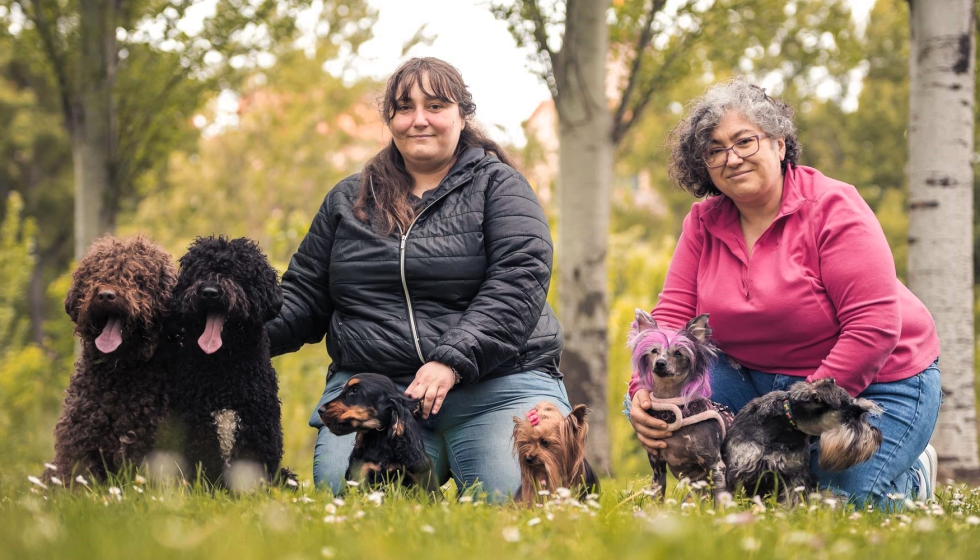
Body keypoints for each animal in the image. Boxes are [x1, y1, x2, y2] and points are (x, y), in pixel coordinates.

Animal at [165, 236, 292, 486]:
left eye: (236, 272)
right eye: (199, 270)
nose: (209, 292)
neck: (223, 369)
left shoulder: (257, 431)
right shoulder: (198, 428)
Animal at [628, 310, 736, 504]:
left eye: (678, 353)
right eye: (654, 351)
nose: (660, 363)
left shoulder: (716, 465)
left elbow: (720, 497)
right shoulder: (657, 466)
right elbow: (657, 494)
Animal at [724, 376, 884, 504]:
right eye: (849, 417)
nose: (877, 437)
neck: (783, 426)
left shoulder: (795, 475)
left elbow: (792, 501)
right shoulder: (741, 469)